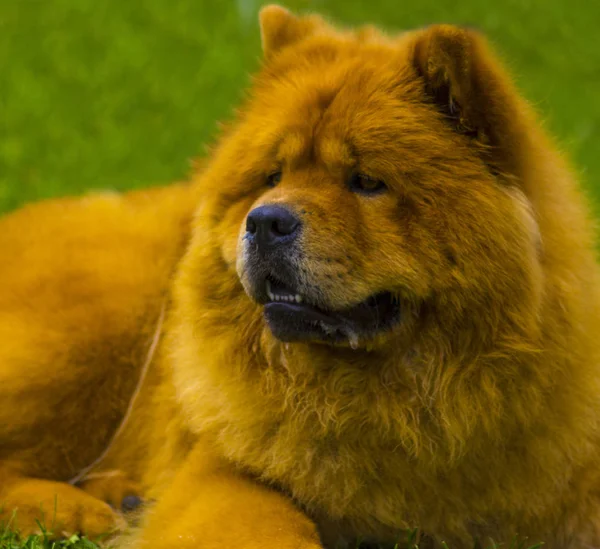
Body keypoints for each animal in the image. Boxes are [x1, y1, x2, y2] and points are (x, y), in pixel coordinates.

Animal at [1, 4, 600, 548]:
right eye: (273, 176)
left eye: (366, 182)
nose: (265, 220)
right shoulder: (227, 473)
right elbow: (274, 527)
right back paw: (79, 511)